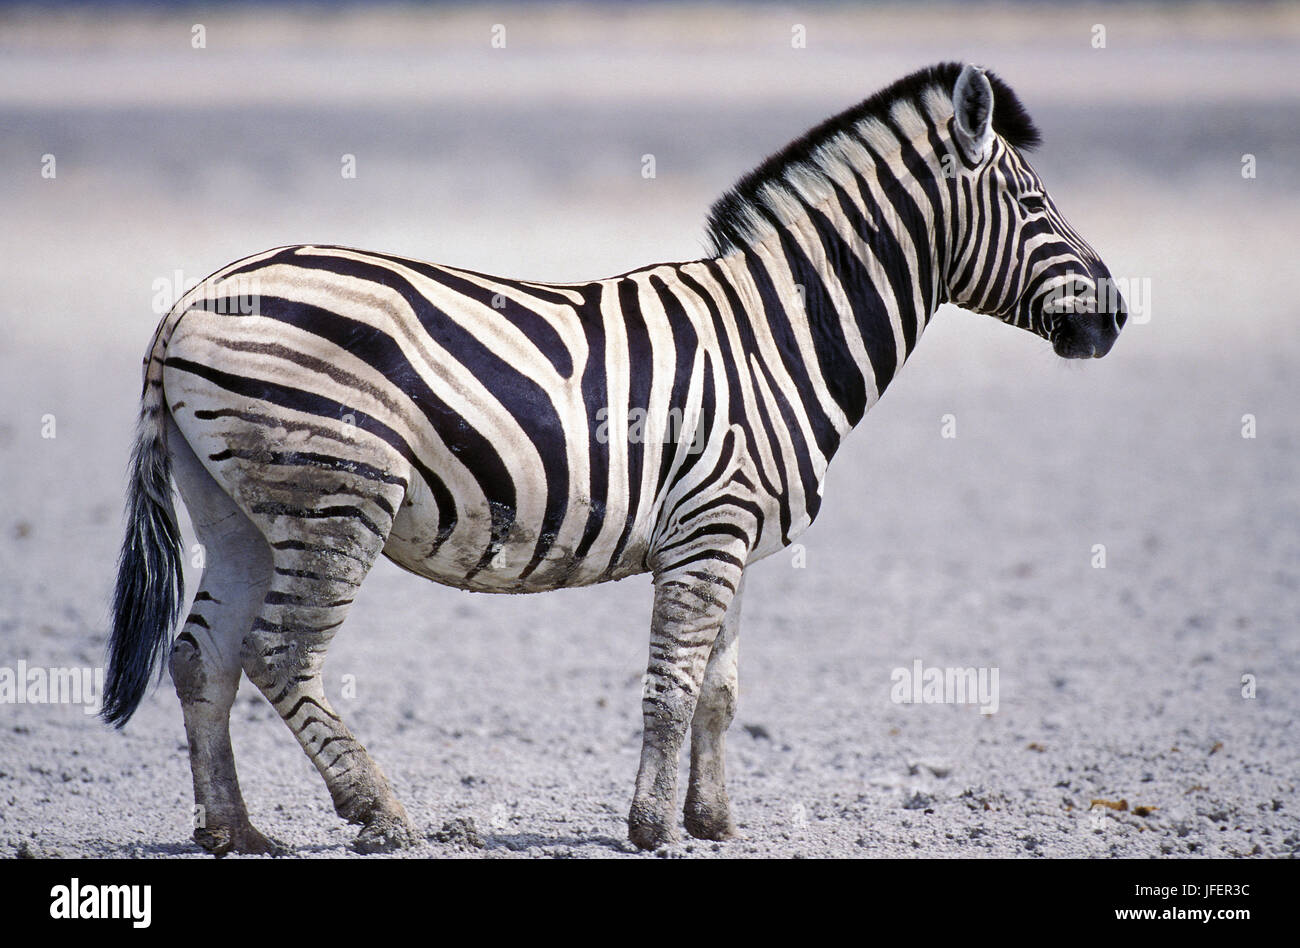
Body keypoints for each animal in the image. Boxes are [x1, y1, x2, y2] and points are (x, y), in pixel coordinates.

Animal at [101, 62, 1128, 853]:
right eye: (1035, 204)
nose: (1117, 318)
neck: (780, 338)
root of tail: (185, 301)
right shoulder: (708, 529)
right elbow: (671, 691)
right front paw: (652, 829)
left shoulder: (733, 539)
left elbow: (719, 693)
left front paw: (713, 822)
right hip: (336, 494)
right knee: (279, 654)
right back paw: (379, 816)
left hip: (238, 509)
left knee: (201, 657)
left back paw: (234, 832)